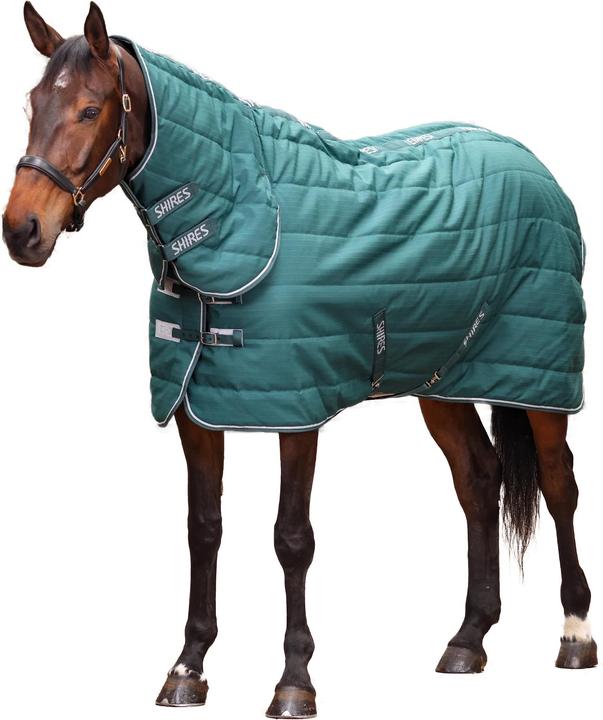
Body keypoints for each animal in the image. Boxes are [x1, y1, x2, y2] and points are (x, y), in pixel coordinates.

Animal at [2, 3, 596, 716]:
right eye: (32, 102)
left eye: (90, 110)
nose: (22, 231)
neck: (243, 217)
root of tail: (537, 169)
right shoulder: (197, 410)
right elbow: (204, 527)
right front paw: (188, 667)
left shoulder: (297, 409)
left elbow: (292, 538)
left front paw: (294, 680)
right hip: (442, 380)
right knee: (479, 481)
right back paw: (468, 640)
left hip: (542, 382)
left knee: (559, 484)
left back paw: (574, 634)